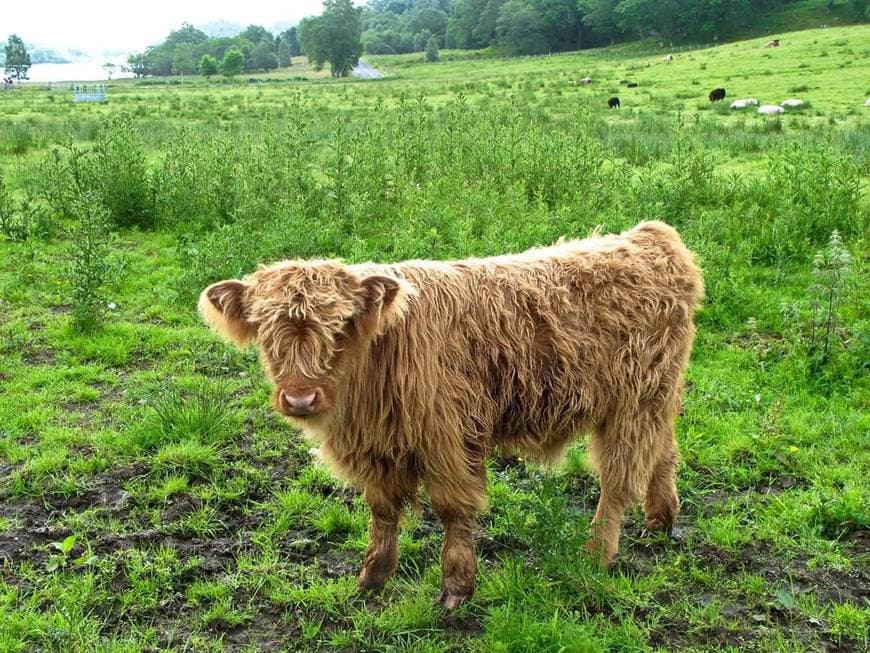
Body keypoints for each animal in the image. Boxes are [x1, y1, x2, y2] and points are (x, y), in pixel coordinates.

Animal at [201, 222, 704, 608]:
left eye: (341, 327)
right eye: (266, 330)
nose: (301, 399)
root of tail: (650, 237)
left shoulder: (448, 438)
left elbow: (452, 510)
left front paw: (456, 589)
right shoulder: (378, 449)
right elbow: (382, 511)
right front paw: (372, 578)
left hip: (634, 402)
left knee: (619, 480)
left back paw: (595, 554)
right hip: (657, 396)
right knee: (664, 450)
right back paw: (662, 519)